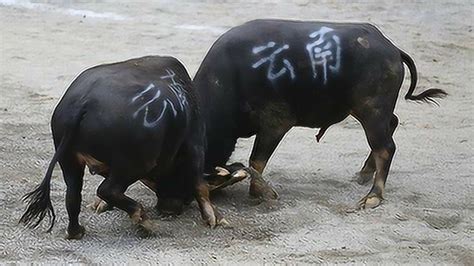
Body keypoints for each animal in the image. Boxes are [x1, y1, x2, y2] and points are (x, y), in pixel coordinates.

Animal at [194, 19, 446, 209]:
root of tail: (392, 49)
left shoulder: (275, 123)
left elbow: (256, 161)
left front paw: (258, 192)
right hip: (372, 111)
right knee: (391, 125)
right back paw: (364, 174)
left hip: (372, 111)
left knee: (385, 147)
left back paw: (373, 196)